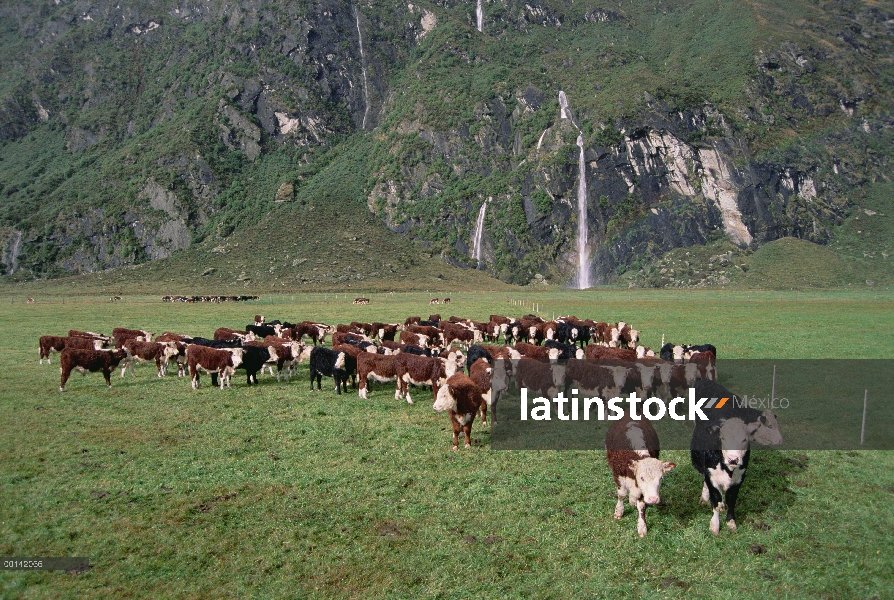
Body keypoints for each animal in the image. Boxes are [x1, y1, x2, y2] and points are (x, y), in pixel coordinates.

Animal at [604, 412, 676, 540]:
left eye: (661, 478)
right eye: (642, 478)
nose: (653, 499)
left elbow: (642, 506)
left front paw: (642, 528)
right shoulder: (618, 475)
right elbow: (621, 495)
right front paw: (619, 511)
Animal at [692, 378, 784, 536]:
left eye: (744, 439)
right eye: (770, 426)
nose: (733, 459)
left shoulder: (739, 478)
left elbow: (731, 501)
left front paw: (731, 523)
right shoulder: (711, 475)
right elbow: (715, 501)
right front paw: (715, 525)